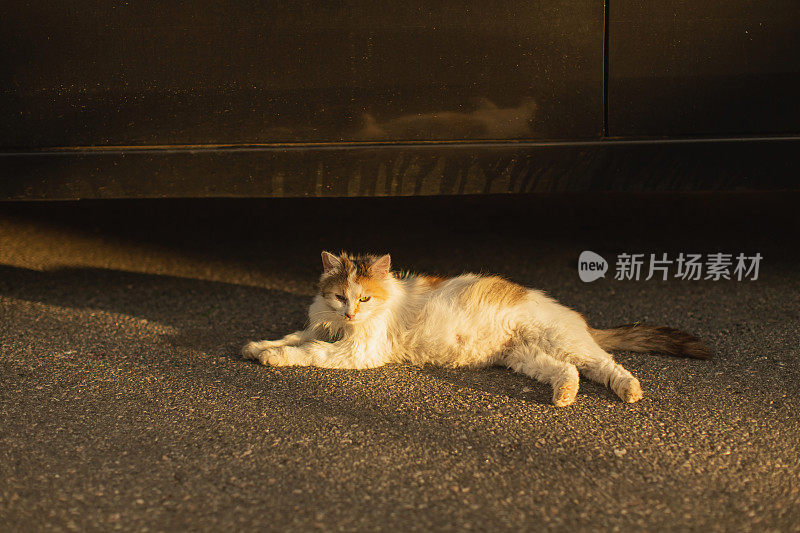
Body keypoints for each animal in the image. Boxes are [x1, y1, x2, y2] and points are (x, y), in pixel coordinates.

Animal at [241, 251, 708, 406]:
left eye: (365, 299)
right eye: (341, 297)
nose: (352, 314)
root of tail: (578, 317)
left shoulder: (356, 352)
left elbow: (308, 352)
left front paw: (273, 356)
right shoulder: (325, 329)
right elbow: (296, 337)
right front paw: (257, 346)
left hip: (564, 343)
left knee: (609, 366)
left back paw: (630, 391)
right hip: (528, 359)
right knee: (569, 373)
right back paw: (563, 397)